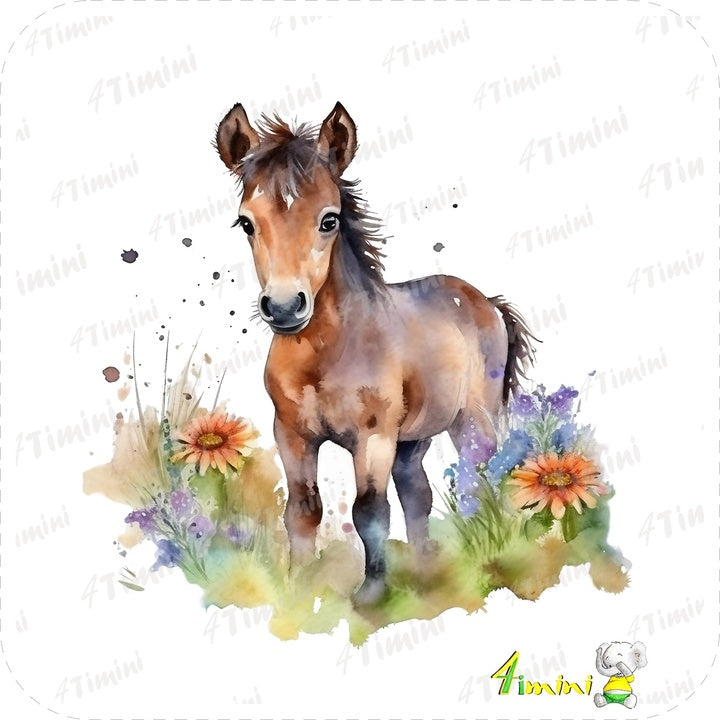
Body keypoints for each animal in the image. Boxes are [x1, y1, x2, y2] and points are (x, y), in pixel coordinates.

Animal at [215, 101, 536, 603]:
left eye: (329, 220)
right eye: (246, 223)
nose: (285, 307)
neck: (325, 354)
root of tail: (485, 300)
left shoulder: (374, 436)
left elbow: (369, 511)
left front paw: (370, 594)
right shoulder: (292, 434)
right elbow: (303, 509)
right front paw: (298, 588)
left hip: (472, 423)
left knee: (483, 480)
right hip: (413, 439)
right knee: (418, 494)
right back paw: (426, 573)